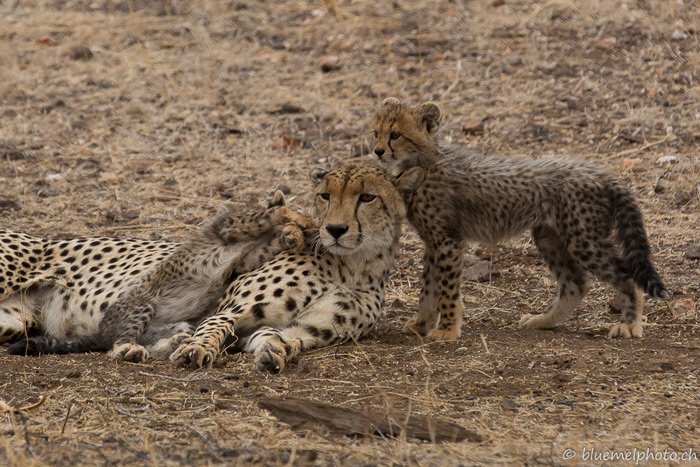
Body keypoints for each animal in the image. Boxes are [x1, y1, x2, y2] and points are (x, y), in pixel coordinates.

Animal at [2, 192, 314, 360]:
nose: (301, 234)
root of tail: (101, 330)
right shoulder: (232, 229)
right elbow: (272, 213)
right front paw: (298, 219)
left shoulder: (246, 257)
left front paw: (292, 233)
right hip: (142, 306)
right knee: (117, 344)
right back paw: (131, 349)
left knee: (155, 340)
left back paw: (173, 343)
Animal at [170, 164, 424, 372]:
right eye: (325, 196)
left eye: (368, 197)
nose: (335, 229)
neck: (352, 266)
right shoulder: (229, 310)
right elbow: (213, 326)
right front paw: (198, 348)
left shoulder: (306, 328)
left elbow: (282, 338)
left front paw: (275, 352)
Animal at [372, 98, 668, 342]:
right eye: (376, 133)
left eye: (395, 135)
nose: (376, 151)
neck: (423, 160)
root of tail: (600, 171)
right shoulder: (433, 243)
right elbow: (428, 288)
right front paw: (421, 325)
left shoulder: (448, 241)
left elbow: (445, 289)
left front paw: (447, 330)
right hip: (549, 237)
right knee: (576, 284)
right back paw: (542, 321)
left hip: (584, 240)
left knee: (626, 276)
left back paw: (629, 324)